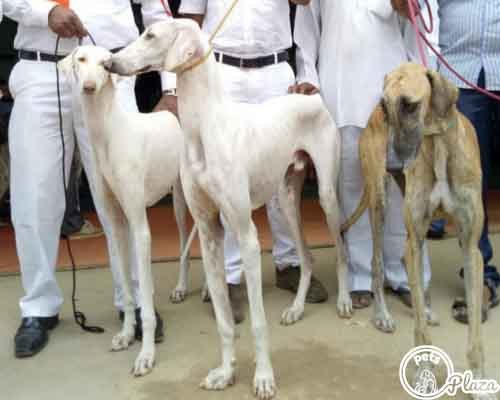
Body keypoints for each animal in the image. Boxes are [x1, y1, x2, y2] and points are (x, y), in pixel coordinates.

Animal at [58, 45, 189, 376]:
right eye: (81, 60)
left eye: (105, 65)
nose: (88, 87)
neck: (108, 134)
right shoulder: (117, 224)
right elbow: (130, 295)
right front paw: (127, 334)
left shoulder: (140, 227)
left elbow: (146, 302)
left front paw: (146, 355)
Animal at [110, 19, 348, 400]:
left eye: (150, 35)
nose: (109, 63)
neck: (204, 127)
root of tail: (309, 94)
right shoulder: (209, 233)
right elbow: (223, 320)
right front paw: (225, 372)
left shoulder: (247, 234)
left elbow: (259, 322)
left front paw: (263, 377)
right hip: (286, 198)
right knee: (307, 257)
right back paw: (296, 308)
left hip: (325, 195)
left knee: (339, 250)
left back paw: (343, 301)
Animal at [344, 64, 492, 396]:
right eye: (385, 106)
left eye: (410, 105)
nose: (392, 164)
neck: (438, 146)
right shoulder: (415, 236)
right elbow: (421, 335)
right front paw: (424, 372)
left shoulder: (470, 248)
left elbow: (476, 333)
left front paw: (478, 382)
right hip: (380, 200)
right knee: (377, 262)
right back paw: (382, 315)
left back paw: (423, 307)